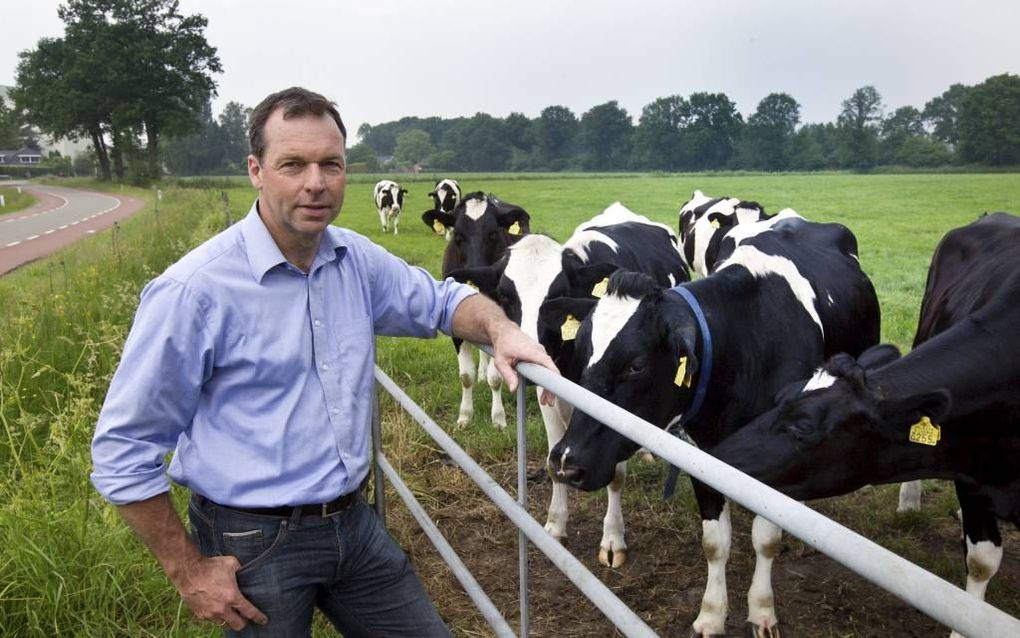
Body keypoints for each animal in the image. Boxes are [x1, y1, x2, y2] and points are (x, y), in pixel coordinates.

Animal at [422, 188, 534, 428]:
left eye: (493, 234)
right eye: (458, 236)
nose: (475, 280)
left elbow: (496, 377)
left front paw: (498, 418)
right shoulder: (455, 326)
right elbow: (466, 376)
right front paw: (465, 415)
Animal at [444, 201, 689, 563]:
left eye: (556, 296)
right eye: (504, 295)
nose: (527, 354)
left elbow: (616, 475)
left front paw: (612, 538)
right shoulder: (550, 391)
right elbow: (552, 458)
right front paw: (555, 524)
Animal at [546, 215, 881, 636]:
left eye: (637, 365)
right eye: (581, 349)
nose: (565, 462)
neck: (747, 343)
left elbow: (766, 539)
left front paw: (762, 611)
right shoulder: (703, 456)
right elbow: (715, 543)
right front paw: (711, 614)